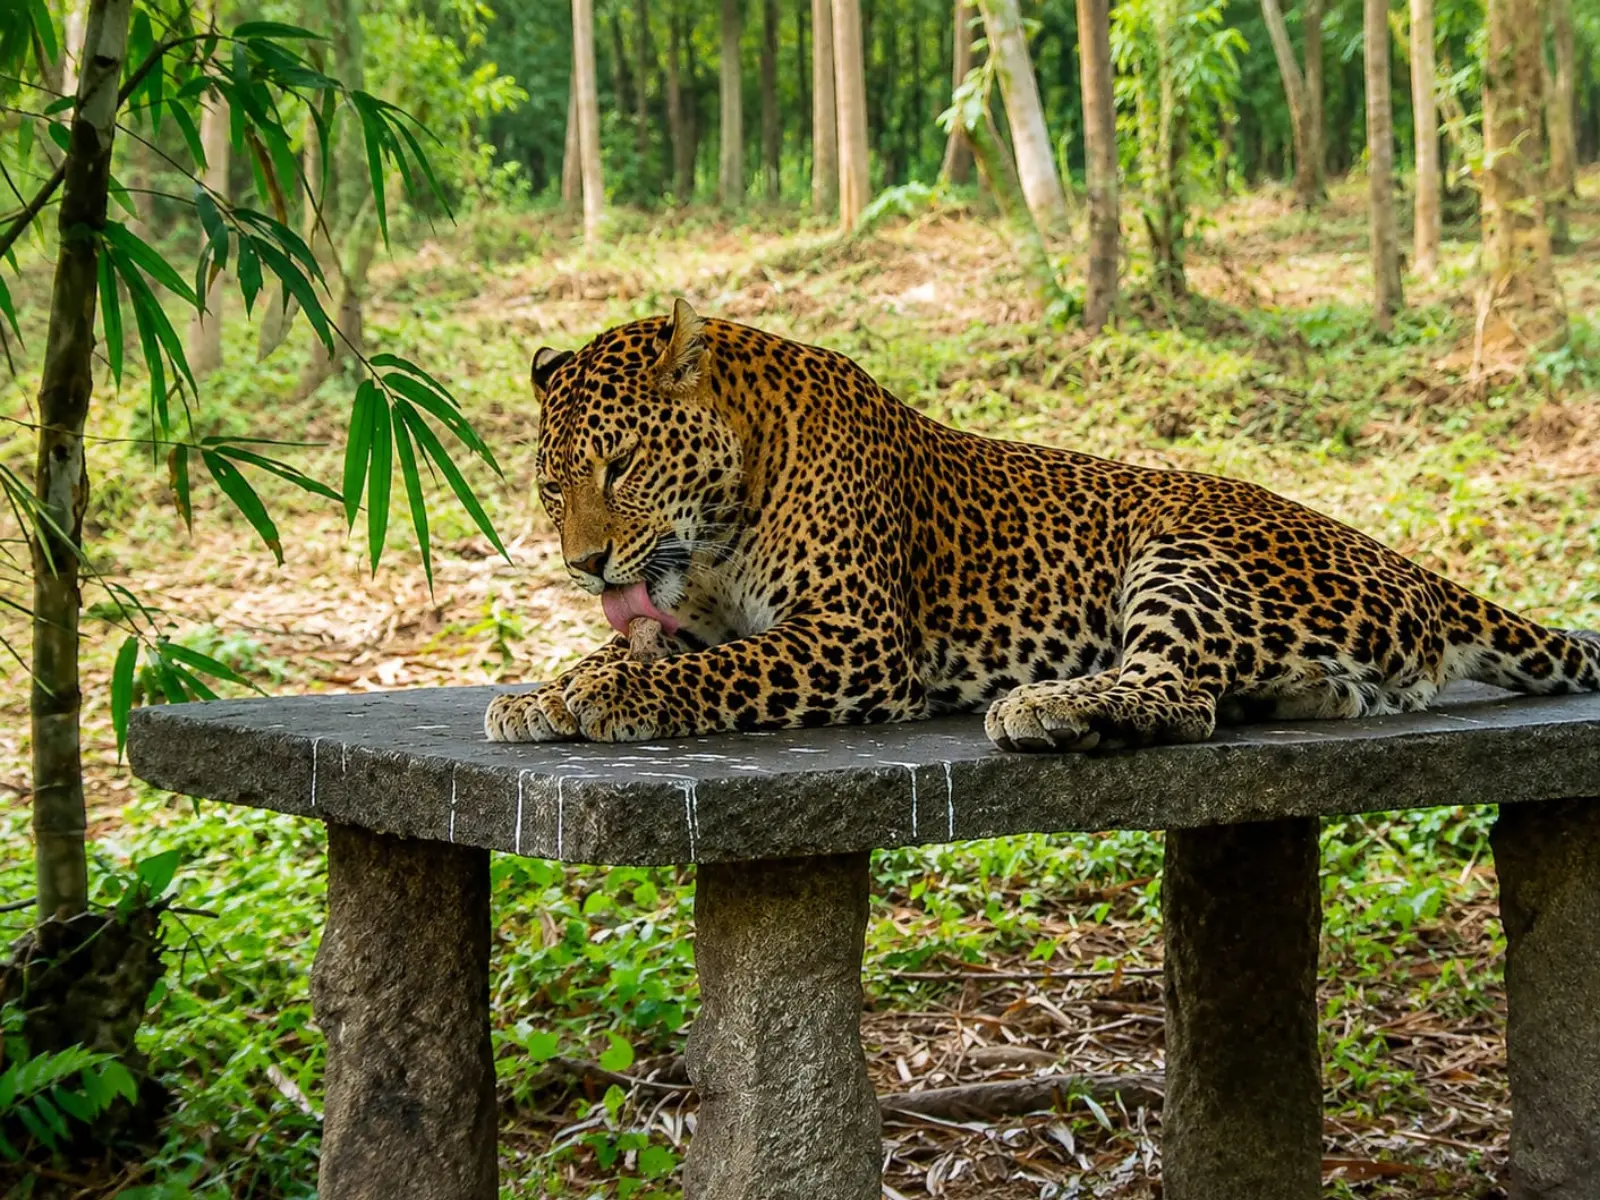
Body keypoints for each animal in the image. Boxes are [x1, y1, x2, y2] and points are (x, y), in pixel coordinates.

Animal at [484, 299, 1600, 752]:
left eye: (621, 466)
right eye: (548, 489)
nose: (586, 565)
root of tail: (1407, 563)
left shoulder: (855, 640)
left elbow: (712, 669)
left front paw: (602, 691)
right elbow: (652, 647)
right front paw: (546, 691)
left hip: (1184, 552)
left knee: (1174, 692)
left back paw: (1051, 707)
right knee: (1253, 693)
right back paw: (1301, 696)